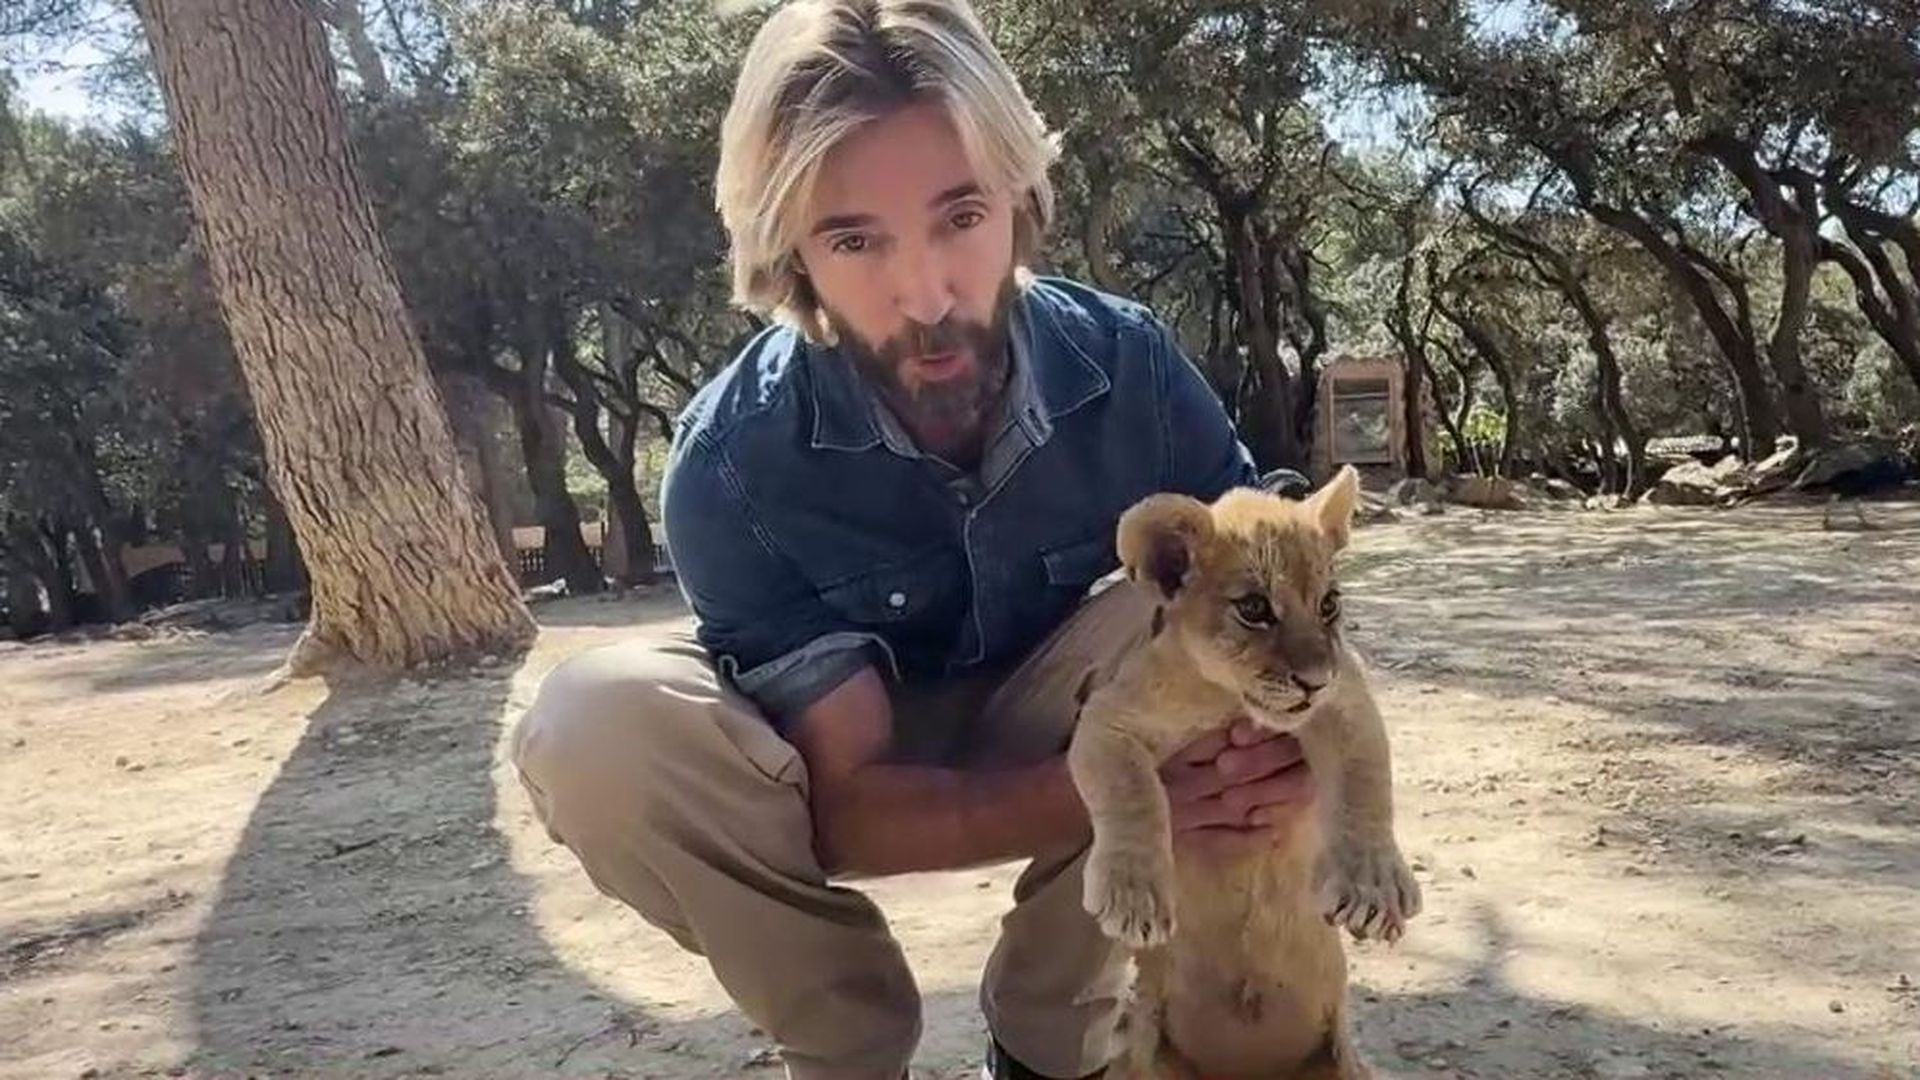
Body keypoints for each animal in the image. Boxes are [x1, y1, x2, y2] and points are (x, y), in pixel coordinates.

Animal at [1067, 465, 1420, 1080]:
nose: (1314, 680)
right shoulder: (1106, 721)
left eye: (1329, 604)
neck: (1227, 697)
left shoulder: (1347, 700)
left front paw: (1374, 892)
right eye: (1254, 608)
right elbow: (1131, 792)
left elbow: (1365, 785)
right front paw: (1134, 898)